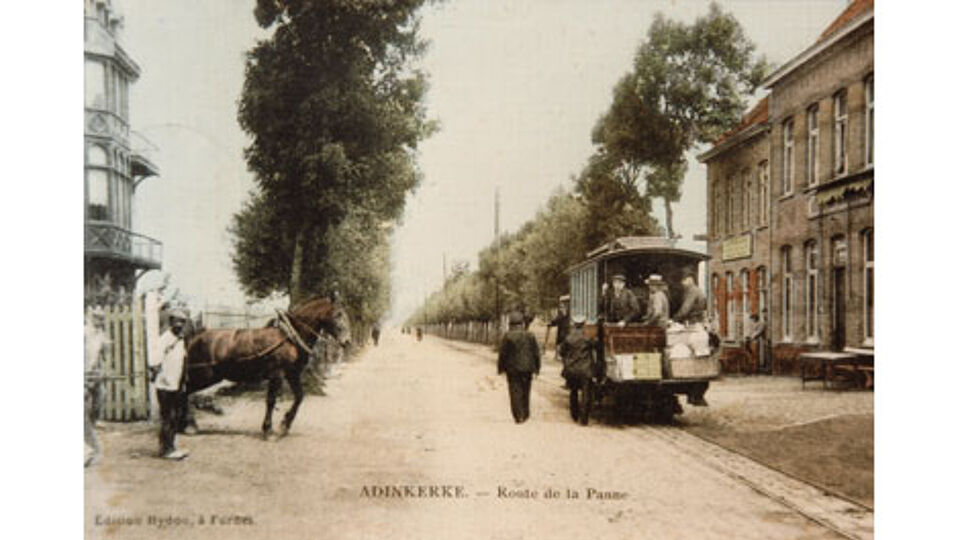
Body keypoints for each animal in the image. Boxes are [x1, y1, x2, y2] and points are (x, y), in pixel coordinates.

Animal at [182, 298, 350, 440]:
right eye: (337, 315)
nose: (347, 342)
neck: (289, 337)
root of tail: (193, 337)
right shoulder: (277, 374)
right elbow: (271, 400)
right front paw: (268, 429)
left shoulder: (292, 374)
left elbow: (299, 397)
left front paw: (284, 425)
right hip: (204, 375)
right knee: (185, 392)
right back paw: (189, 425)